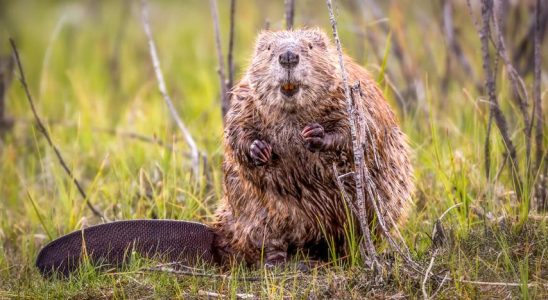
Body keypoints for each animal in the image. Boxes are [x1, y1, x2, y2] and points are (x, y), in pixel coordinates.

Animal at [35, 28, 412, 276]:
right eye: (269, 47)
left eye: (308, 45)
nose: (288, 56)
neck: (292, 112)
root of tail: (217, 236)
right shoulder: (244, 97)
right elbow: (236, 133)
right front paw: (260, 148)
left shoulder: (351, 93)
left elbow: (357, 131)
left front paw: (315, 135)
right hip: (259, 215)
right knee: (266, 244)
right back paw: (282, 262)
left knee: (349, 240)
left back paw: (347, 255)